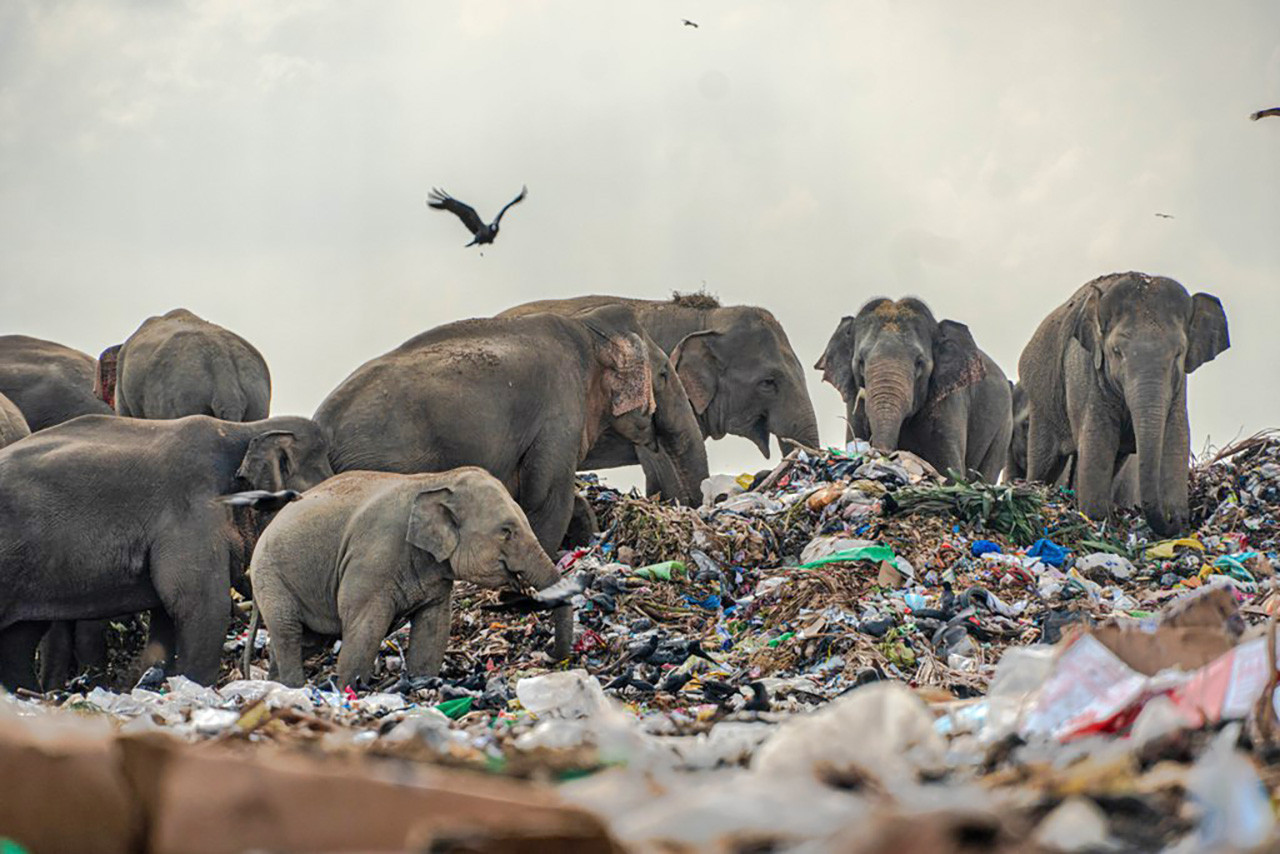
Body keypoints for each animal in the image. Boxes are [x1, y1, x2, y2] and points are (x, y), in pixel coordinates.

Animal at [0, 414, 333, 689]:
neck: (244, 429)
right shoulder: (192, 512)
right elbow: (202, 607)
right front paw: (192, 687)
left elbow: (167, 616)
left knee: (20, 640)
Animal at [250, 468, 569, 688]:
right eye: (506, 531)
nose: (550, 655)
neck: (436, 480)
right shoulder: (371, 560)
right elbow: (365, 628)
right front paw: (349, 689)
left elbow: (433, 627)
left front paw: (421, 681)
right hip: (271, 577)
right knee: (288, 632)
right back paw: (294, 688)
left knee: (307, 640)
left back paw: (275, 685)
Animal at [314, 304, 706, 581]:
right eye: (664, 374)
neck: (585, 328)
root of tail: (324, 426)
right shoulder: (559, 410)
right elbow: (546, 496)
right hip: (388, 457)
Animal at [817, 298, 1012, 482]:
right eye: (861, 362)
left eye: (919, 362)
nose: (885, 455)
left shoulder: (948, 404)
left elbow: (949, 471)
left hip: (1002, 430)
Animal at [1018, 272, 1229, 535]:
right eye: (1117, 351)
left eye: (1179, 353)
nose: (1172, 519)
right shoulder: (1087, 376)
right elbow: (1098, 440)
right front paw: (1097, 519)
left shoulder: (1179, 386)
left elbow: (1176, 438)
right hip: (1042, 404)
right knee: (1045, 463)